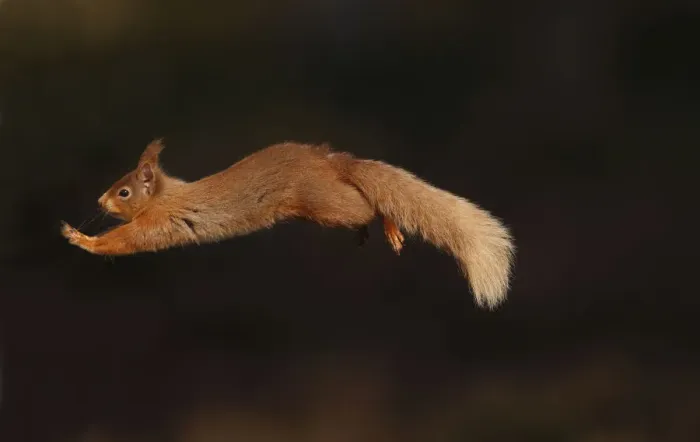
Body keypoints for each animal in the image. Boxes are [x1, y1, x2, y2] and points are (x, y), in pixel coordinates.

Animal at [61, 139, 515, 308]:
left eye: (123, 192)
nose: (100, 200)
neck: (165, 194)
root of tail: (329, 161)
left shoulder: (159, 222)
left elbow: (127, 240)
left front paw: (82, 239)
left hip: (324, 202)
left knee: (368, 205)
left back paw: (386, 224)